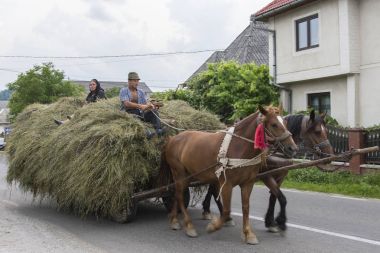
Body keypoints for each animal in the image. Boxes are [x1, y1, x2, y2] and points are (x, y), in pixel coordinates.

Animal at [160, 105, 296, 244]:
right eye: (274, 124)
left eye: (285, 123)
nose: (293, 148)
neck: (239, 147)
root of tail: (172, 139)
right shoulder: (226, 184)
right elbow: (226, 211)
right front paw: (213, 226)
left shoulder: (248, 183)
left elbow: (246, 207)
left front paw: (249, 233)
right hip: (179, 173)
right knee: (180, 196)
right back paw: (189, 225)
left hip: (188, 175)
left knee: (177, 194)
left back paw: (174, 220)